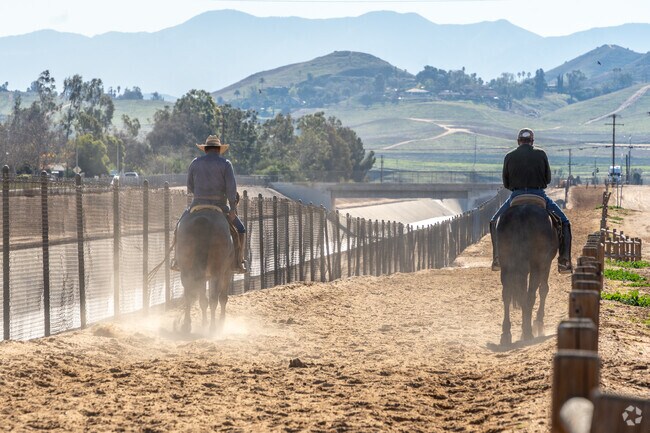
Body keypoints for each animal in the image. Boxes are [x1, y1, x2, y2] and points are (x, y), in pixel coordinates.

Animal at [175, 206, 234, 334]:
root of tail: (203, 220)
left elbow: (202, 299)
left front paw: (204, 323)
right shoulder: (227, 272)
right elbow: (222, 298)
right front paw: (220, 323)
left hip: (187, 270)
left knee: (189, 294)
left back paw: (186, 325)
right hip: (217, 272)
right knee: (214, 298)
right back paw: (213, 327)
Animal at [496, 197, 558, 346]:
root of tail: (522, 214)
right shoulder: (546, 263)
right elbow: (544, 289)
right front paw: (538, 323)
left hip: (506, 265)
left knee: (507, 294)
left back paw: (506, 333)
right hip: (537, 265)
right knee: (530, 294)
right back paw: (528, 332)